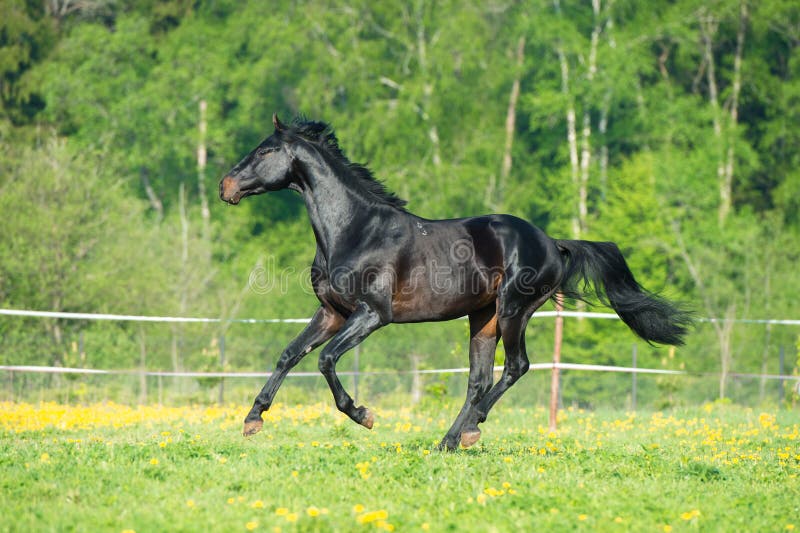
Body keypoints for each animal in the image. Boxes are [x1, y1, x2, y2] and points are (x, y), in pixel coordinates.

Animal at [219, 114, 691, 450]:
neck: (355, 229)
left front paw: (364, 415)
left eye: (264, 151)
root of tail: (552, 243)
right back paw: (450, 439)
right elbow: (289, 354)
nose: (226, 186)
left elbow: (325, 360)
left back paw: (469, 431)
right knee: (478, 378)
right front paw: (252, 420)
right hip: (482, 318)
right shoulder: (332, 313)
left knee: (516, 366)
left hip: (513, 310)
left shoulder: (372, 315)